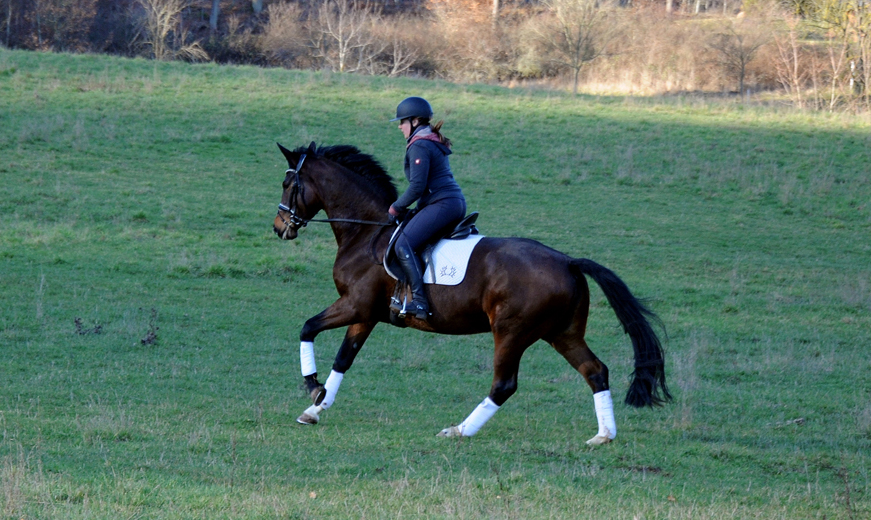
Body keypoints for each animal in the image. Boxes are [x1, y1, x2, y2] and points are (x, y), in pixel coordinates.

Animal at [276, 143, 672, 446]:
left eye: (287, 183)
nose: (280, 227)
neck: (366, 233)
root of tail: (568, 262)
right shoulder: (367, 314)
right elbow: (344, 359)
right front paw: (315, 409)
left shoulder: (355, 305)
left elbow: (308, 327)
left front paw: (312, 388)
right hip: (562, 332)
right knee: (595, 371)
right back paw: (603, 436)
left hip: (512, 332)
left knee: (504, 385)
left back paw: (459, 430)